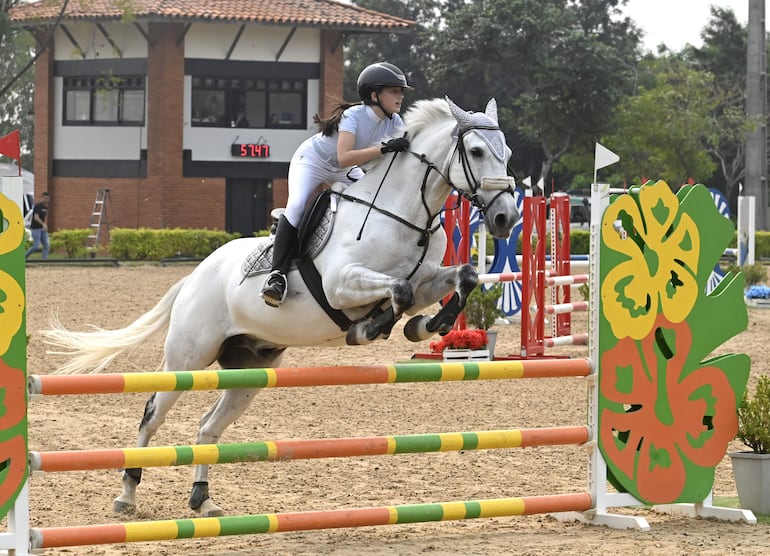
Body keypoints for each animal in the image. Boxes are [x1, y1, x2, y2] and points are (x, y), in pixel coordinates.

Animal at [45, 96, 520, 516]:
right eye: (476, 151)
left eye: (507, 152)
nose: (505, 219)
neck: (401, 212)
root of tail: (194, 277)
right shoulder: (341, 285)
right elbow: (397, 291)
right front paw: (370, 328)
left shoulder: (427, 279)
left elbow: (461, 277)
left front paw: (426, 326)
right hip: (188, 358)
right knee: (151, 415)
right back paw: (127, 495)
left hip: (250, 370)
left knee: (208, 425)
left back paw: (202, 499)